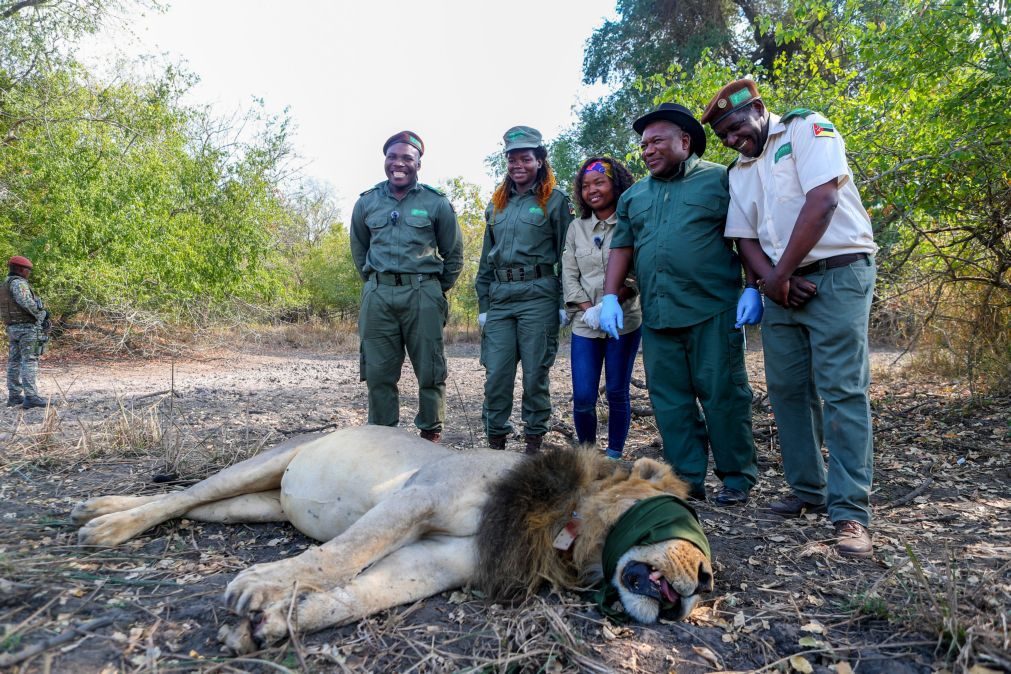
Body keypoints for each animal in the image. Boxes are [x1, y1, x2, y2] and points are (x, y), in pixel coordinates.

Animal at [69, 426, 711, 654]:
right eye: (680, 517)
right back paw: (104, 524)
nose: (704, 582)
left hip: (255, 505)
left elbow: (359, 596)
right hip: (261, 464)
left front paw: (269, 625)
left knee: (200, 507)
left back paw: (105, 507)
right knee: (181, 496)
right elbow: (344, 553)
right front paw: (263, 585)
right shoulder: (419, 496)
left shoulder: (439, 560)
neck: (561, 524)